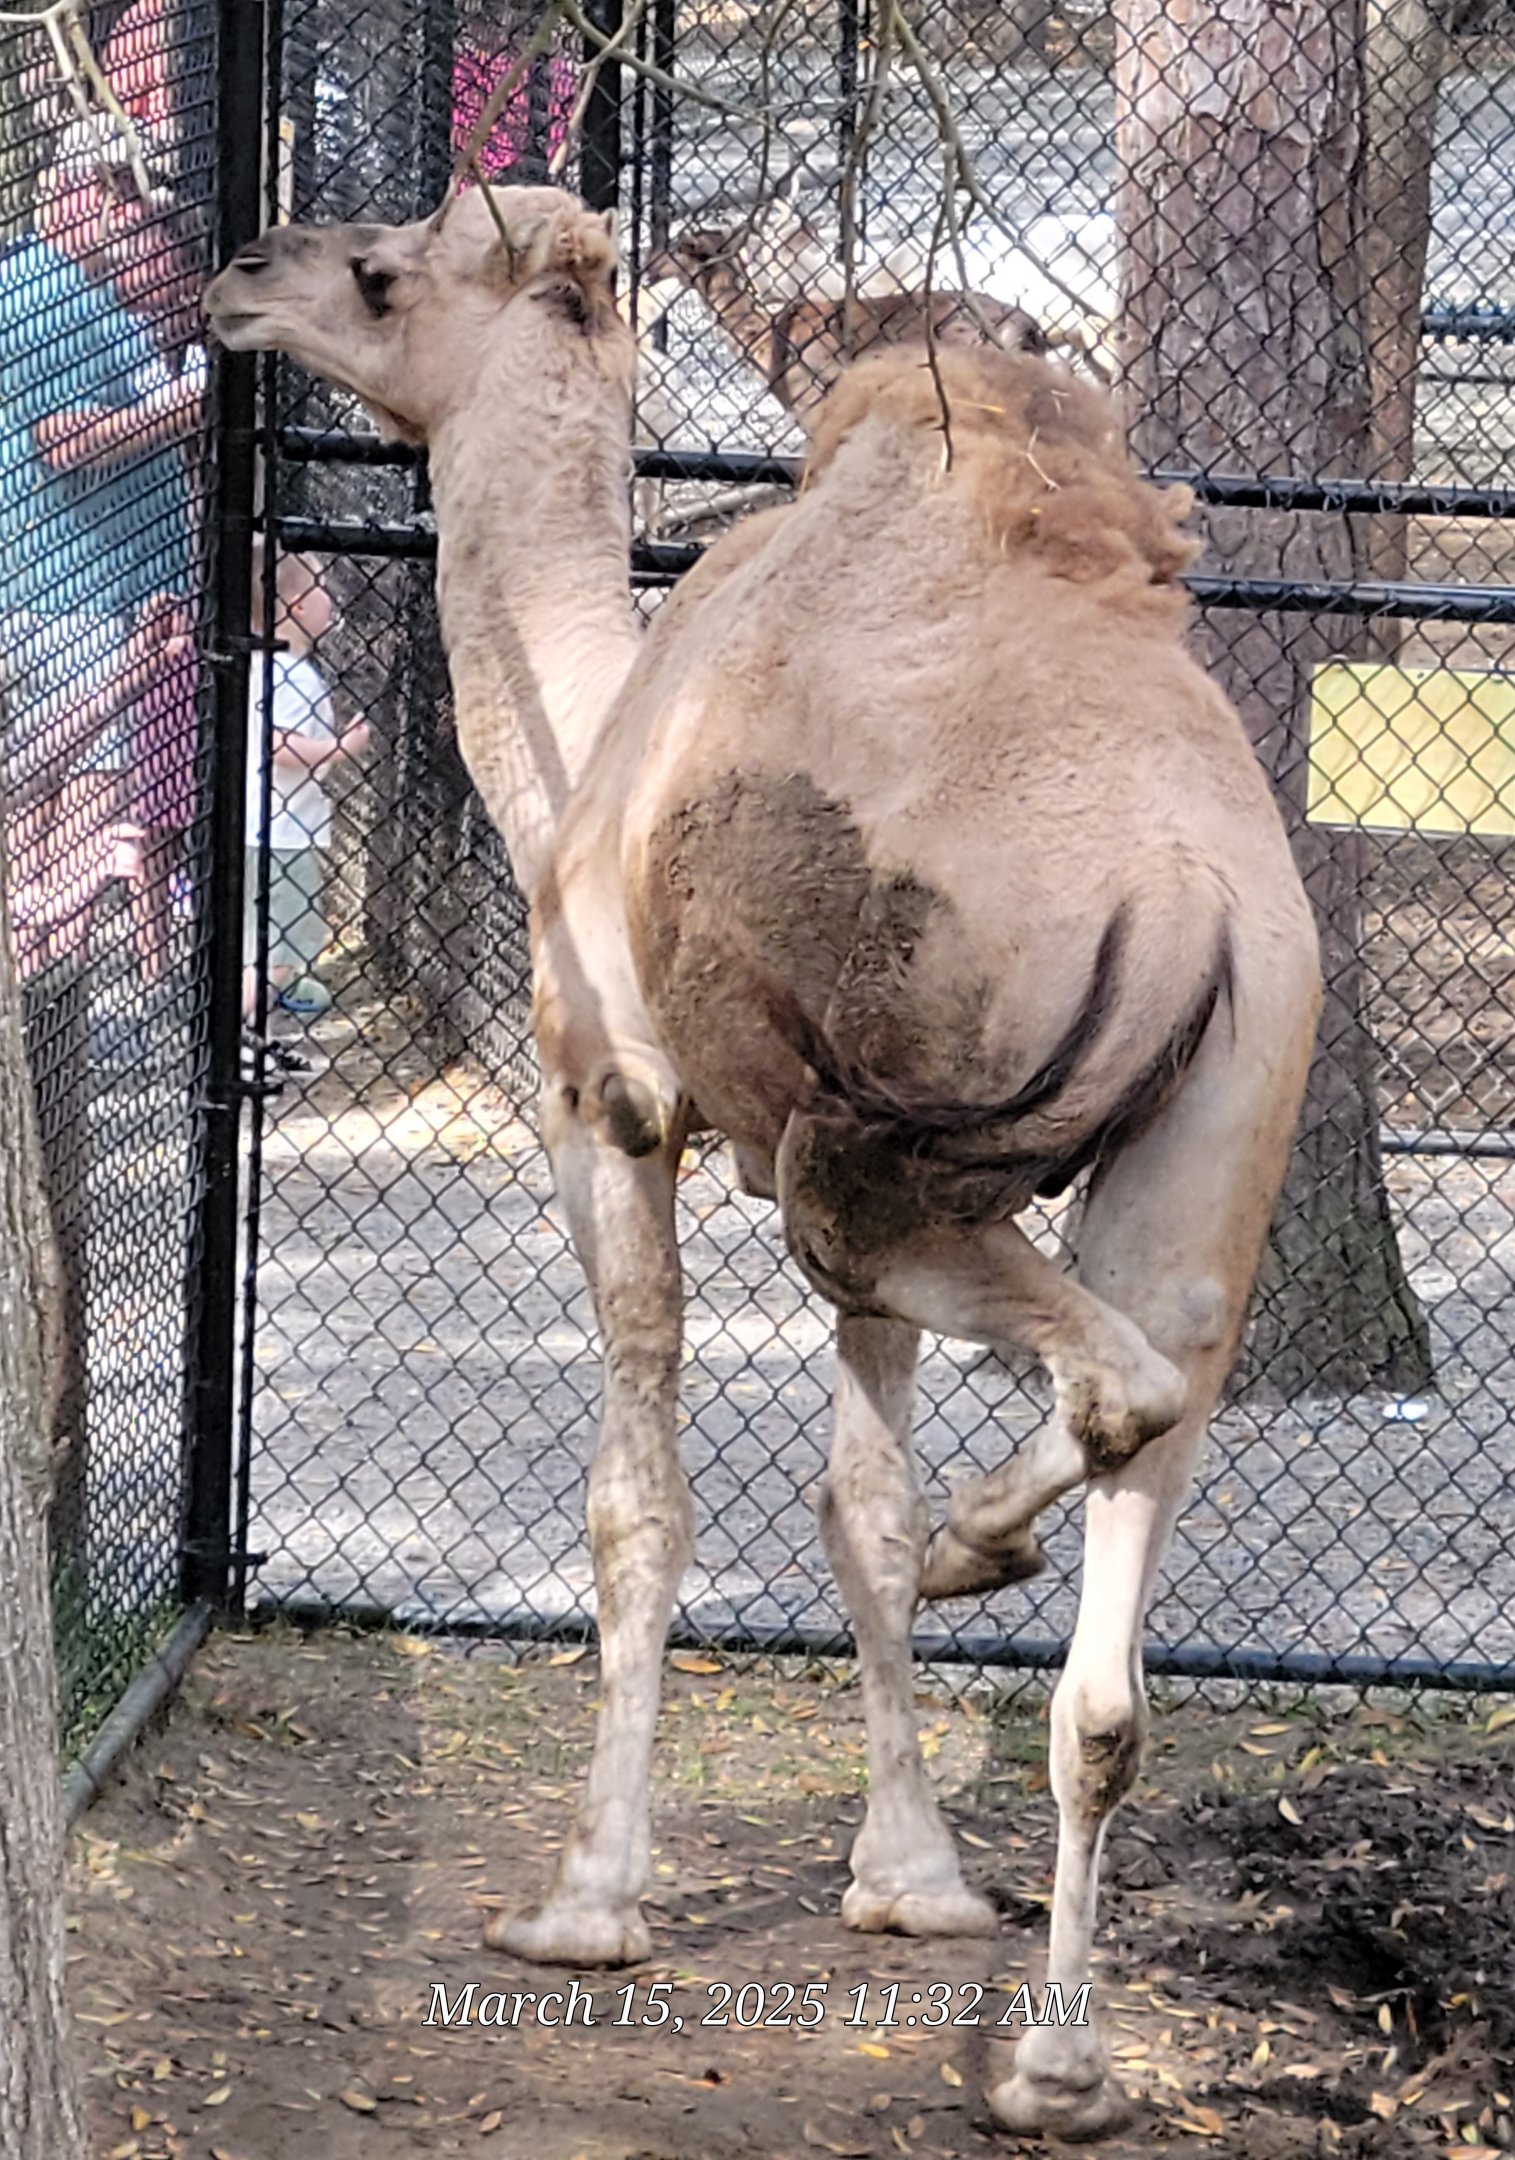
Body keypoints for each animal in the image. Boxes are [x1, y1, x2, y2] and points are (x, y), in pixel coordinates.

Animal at [205, 186, 1321, 2141]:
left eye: (384, 274)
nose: (239, 272)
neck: (596, 716)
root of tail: (1188, 896)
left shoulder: (613, 1100)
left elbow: (637, 1500)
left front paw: (585, 1904)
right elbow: (852, 1504)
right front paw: (912, 1881)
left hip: (868, 1138)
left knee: (1096, 1365)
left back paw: (984, 1561)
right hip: (1212, 1123)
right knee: (1140, 1490)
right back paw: (1054, 2058)